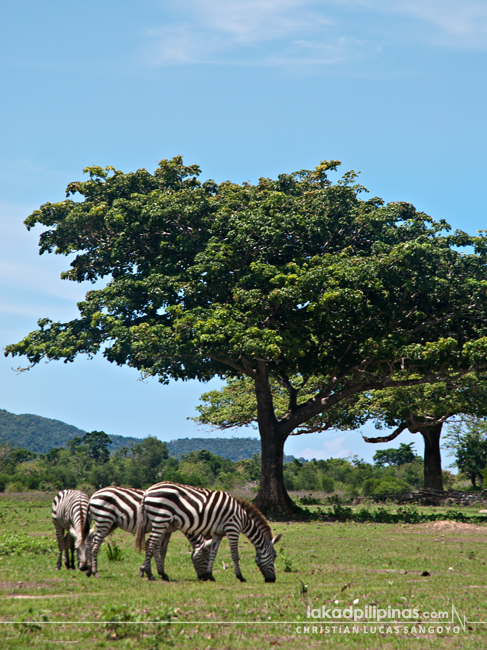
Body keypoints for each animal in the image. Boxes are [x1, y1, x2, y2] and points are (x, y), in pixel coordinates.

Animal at [77, 486, 211, 576]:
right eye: (207, 557)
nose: (204, 577)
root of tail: (93, 495)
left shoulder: (167, 530)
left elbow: (161, 550)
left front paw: (146, 570)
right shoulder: (161, 527)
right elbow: (154, 548)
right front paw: (147, 570)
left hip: (110, 524)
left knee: (90, 542)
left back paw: (89, 570)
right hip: (104, 519)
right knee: (95, 544)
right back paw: (95, 572)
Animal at [136, 480, 282, 584]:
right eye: (274, 556)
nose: (272, 580)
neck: (243, 518)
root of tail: (148, 491)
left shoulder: (218, 533)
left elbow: (213, 553)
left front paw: (210, 575)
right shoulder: (232, 529)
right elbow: (235, 555)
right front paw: (240, 577)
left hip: (160, 521)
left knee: (153, 544)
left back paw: (159, 574)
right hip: (161, 518)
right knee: (150, 544)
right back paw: (150, 574)